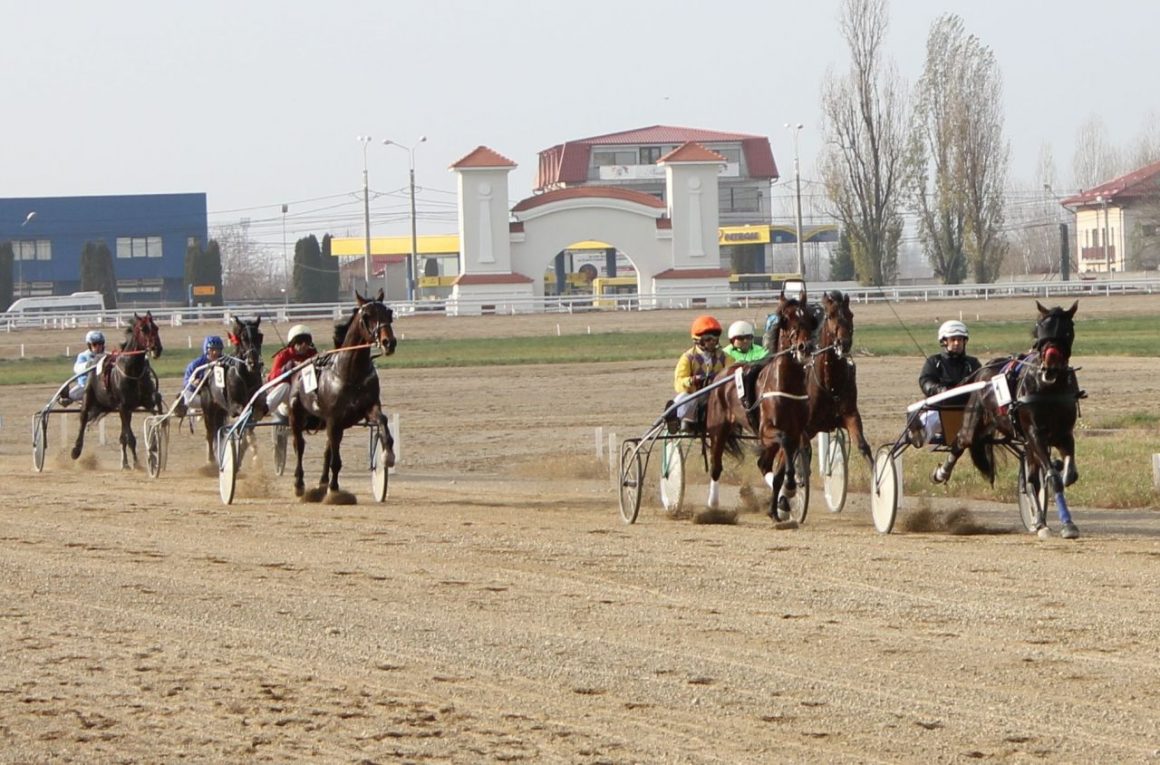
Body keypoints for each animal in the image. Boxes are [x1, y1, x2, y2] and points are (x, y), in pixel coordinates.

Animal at [70, 308, 164, 466]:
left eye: (156, 328)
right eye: (143, 329)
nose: (157, 349)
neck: (132, 371)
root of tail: (94, 361)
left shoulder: (144, 402)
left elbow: (156, 401)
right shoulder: (123, 406)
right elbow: (131, 438)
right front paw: (137, 463)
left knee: (122, 435)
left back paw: (125, 463)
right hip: (89, 395)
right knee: (83, 417)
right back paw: (76, 450)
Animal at [194, 315, 266, 462]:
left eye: (260, 336)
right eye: (243, 338)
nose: (254, 363)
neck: (245, 376)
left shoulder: (257, 404)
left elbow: (252, 422)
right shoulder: (234, 407)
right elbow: (244, 418)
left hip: (220, 410)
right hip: (209, 409)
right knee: (210, 433)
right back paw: (211, 460)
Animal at [288, 290, 399, 499]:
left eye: (389, 312)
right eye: (367, 316)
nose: (389, 342)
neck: (350, 374)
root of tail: (298, 369)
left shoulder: (369, 407)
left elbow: (383, 421)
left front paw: (388, 455)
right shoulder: (334, 419)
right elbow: (336, 461)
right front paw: (334, 491)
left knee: (326, 449)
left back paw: (322, 483)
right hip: (296, 416)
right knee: (299, 445)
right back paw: (299, 484)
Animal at [696, 293, 816, 520]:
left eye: (809, 318)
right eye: (786, 320)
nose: (805, 347)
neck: (785, 384)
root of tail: (720, 376)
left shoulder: (796, 432)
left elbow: (780, 468)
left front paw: (780, 505)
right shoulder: (767, 431)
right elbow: (784, 443)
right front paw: (789, 488)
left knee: (763, 464)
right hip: (718, 428)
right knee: (716, 466)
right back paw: (712, 506)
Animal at [928, 299, 1081, 538]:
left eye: (1067, 330)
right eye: (1040, 329)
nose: (1050, 368)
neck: (1048, 387)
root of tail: (983, 371)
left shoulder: (1063, 434)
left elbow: (1068, 474)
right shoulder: (1035, 434)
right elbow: (1052, 478)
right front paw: (1067, 525)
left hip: (1026, 442)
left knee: (1032, 480)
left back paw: (1039, 521)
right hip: (975, 424)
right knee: (960, 442)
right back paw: (941, 473)